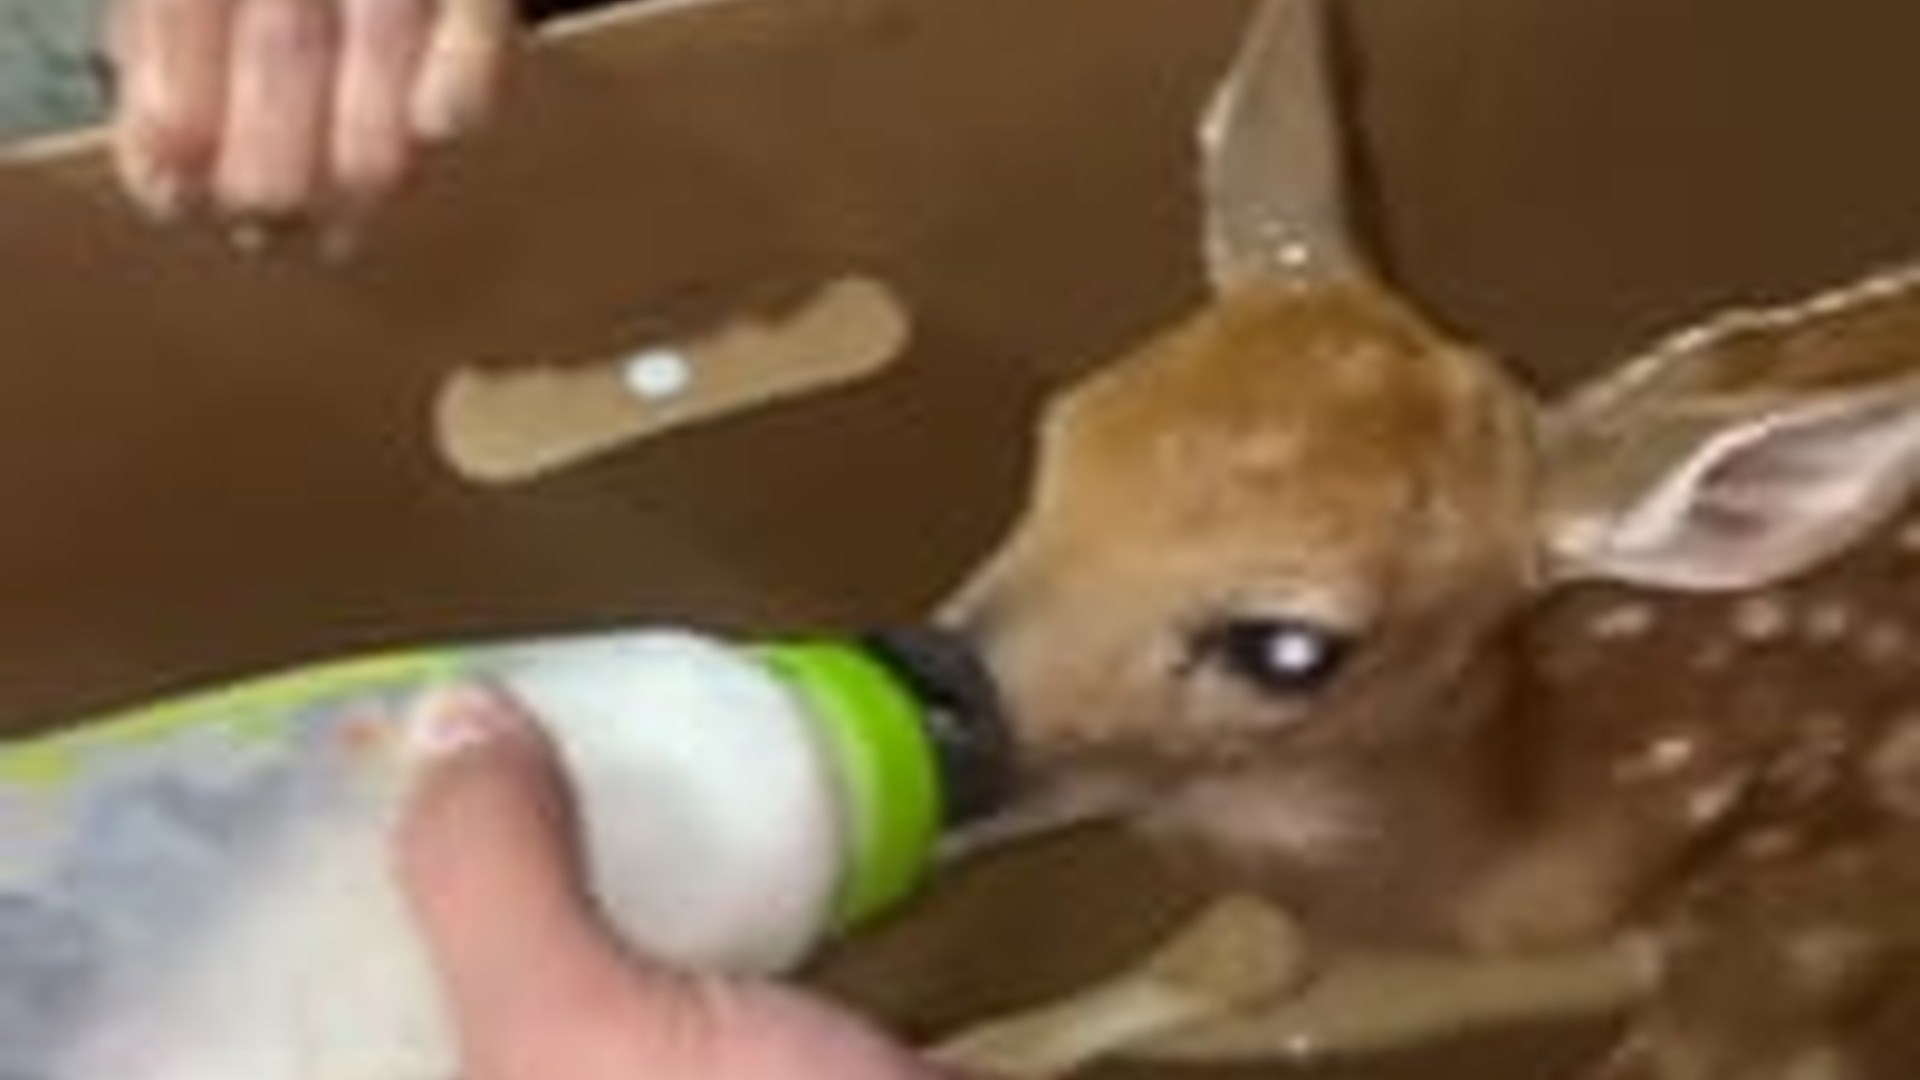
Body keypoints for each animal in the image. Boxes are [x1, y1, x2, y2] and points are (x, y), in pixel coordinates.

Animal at [924, 2, 1920, 1078]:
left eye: (1289, 648)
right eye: (1059, 438)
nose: (921, 699)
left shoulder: (1806, 926)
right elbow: (1243, 948)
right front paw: (977, 1048)